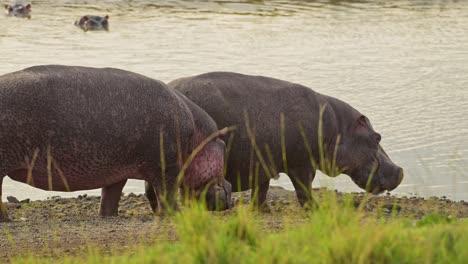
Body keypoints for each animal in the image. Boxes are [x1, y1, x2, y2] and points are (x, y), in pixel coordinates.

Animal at [0, 65, 230, 222]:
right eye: (224, 147)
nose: (230, 192)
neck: (199, 135)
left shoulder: (117, 173)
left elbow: (110, 196)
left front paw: (108, 216)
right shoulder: (168, 168)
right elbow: (167, 194)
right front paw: (176, 215)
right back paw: (6, 220)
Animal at [149, 71, 402, 208]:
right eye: (376, 137)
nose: (400, 171)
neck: (338, 128)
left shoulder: (263, 164)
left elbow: (261, 191)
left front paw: (259, 210)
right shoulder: (302, 165)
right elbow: (304, 190)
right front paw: (317, 208)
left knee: (152, 187)